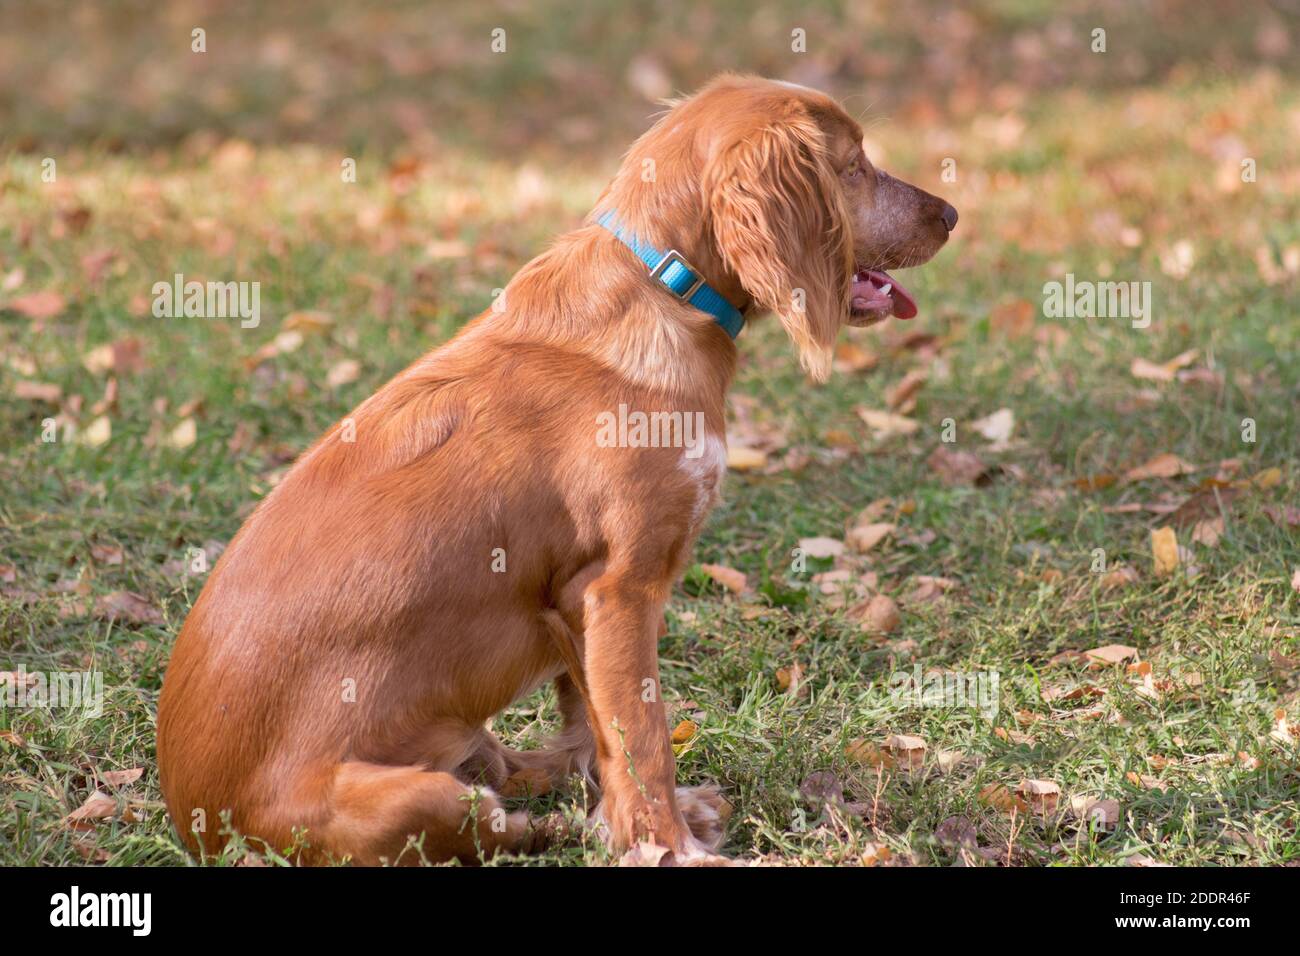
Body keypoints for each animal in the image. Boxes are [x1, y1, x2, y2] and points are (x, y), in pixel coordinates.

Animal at [154, 74, 956, 868]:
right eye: (852, 165)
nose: (951, 214)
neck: (664, 290)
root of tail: (199, 823)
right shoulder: (619, 587)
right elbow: (643, 735)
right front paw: (667, 847)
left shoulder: (577, 599)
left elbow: (596, 726)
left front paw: (626, 824)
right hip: (421, 802)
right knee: (495, 821)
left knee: (506, 767)